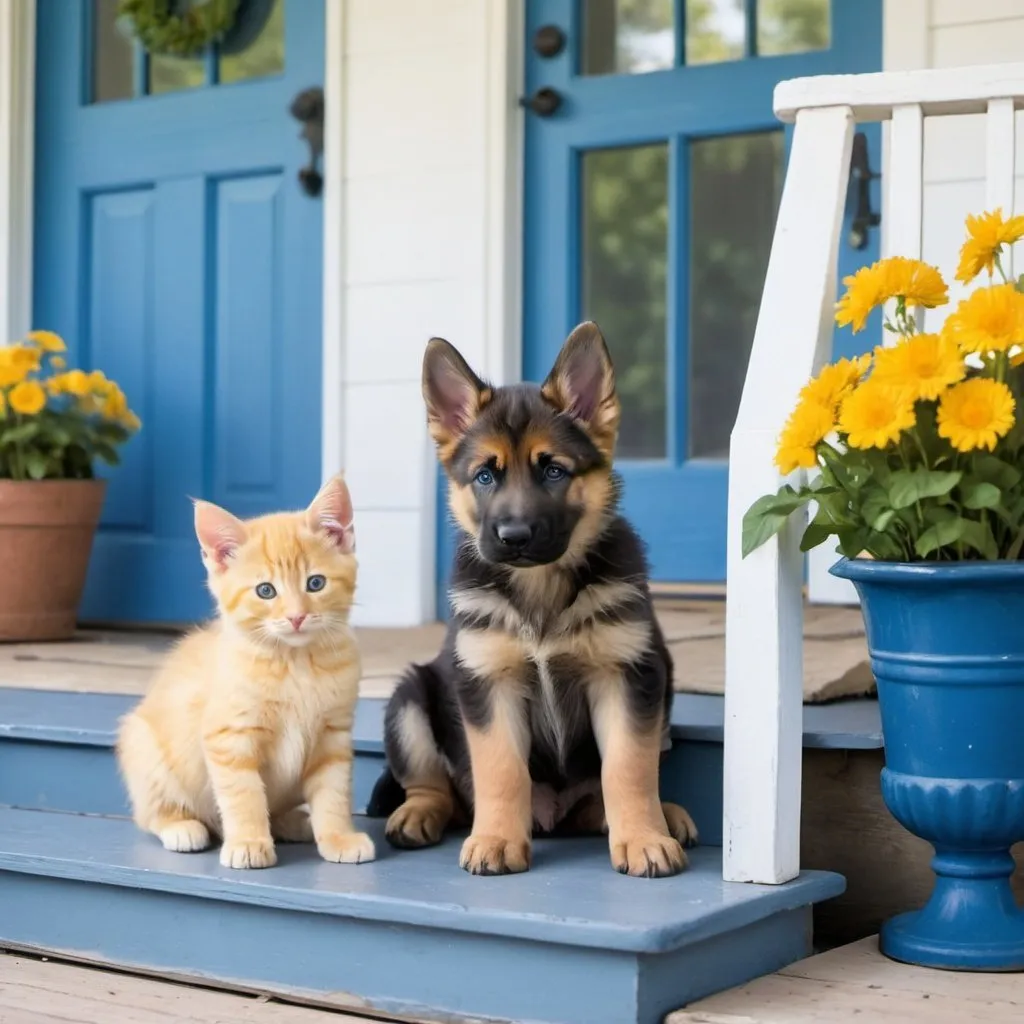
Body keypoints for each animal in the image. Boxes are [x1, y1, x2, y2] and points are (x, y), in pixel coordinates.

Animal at [117, 475, 372, 868]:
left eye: (315, 583)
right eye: (265, 591)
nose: (296, 617)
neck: (295, 663)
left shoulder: (333, 736)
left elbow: (334, 792)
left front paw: (338, 837)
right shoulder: (229, 737)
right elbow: (244, 795)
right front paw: (249, 842)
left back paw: (293, 822)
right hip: (142, 746)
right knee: (149, 814)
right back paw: (181, 827)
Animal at [368, 323, 696, 876]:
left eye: (553, 472)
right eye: (485, 476)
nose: (514, 536)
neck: (540, 587)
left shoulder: (627, 676)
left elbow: (628, 767)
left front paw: (644, 838)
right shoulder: (487, 684)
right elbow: (501, 770)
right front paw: (497, 840)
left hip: (663, 685)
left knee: (602, 798)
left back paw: (663, 815)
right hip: (410, 700)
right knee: (436, 787)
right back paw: (417, 814)